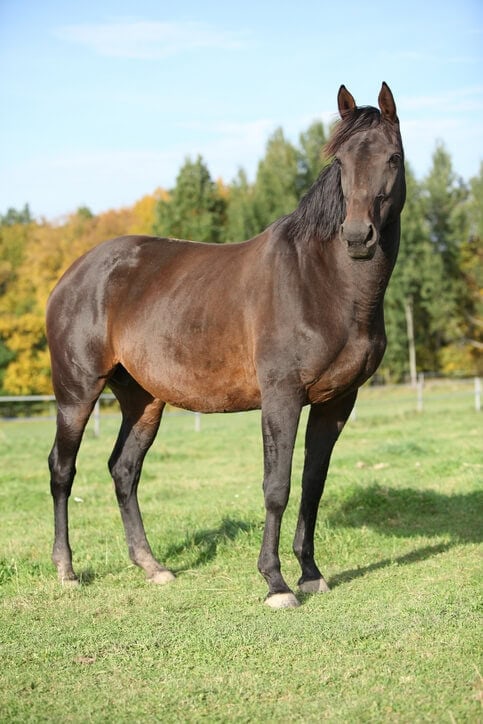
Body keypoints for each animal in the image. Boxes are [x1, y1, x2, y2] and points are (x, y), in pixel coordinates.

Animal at [46, 82, 405, 608]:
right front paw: (276, 583)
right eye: (340, 162)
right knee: (63, 469)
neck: (322, 281)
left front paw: (311, 573)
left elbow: (312, 485)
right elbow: (277, 486)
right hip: (76, 393)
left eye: (393, 158)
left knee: (124, 470)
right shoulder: (281, 397)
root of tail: (72, 274)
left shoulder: (337, 401)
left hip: (143, 400)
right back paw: (67, 570)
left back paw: (152, 566)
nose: (358, 237)